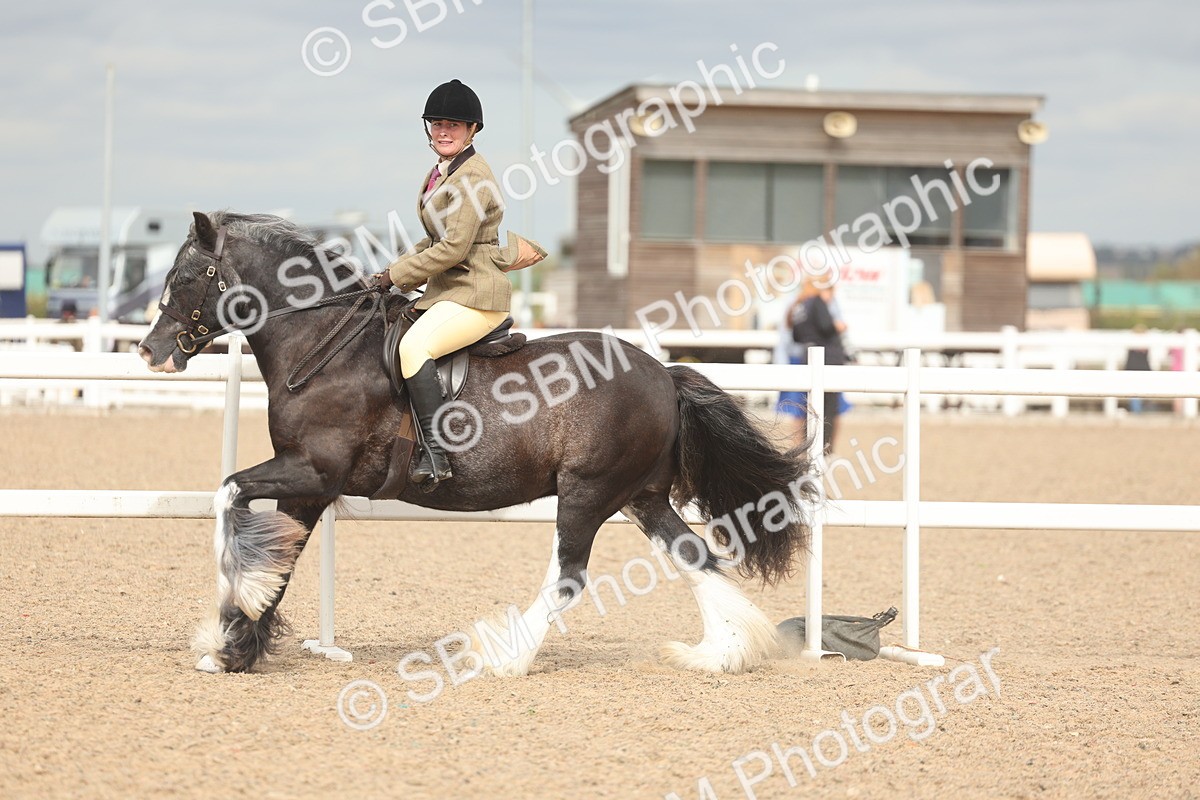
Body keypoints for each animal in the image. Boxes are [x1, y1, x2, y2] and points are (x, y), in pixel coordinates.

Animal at [138, 210, 814, 677]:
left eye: (189, 275)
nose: (149, 351)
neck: (323, 343)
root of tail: (663, 375)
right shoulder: (306, 486)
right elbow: (279, 554)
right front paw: (237, 643)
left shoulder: (313, 471)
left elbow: (229, 496)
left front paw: (235, 624)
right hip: (638, 496)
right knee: (691, 555)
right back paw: (720, 654)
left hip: (587, 493)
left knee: (570, 576)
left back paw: (505, 658)